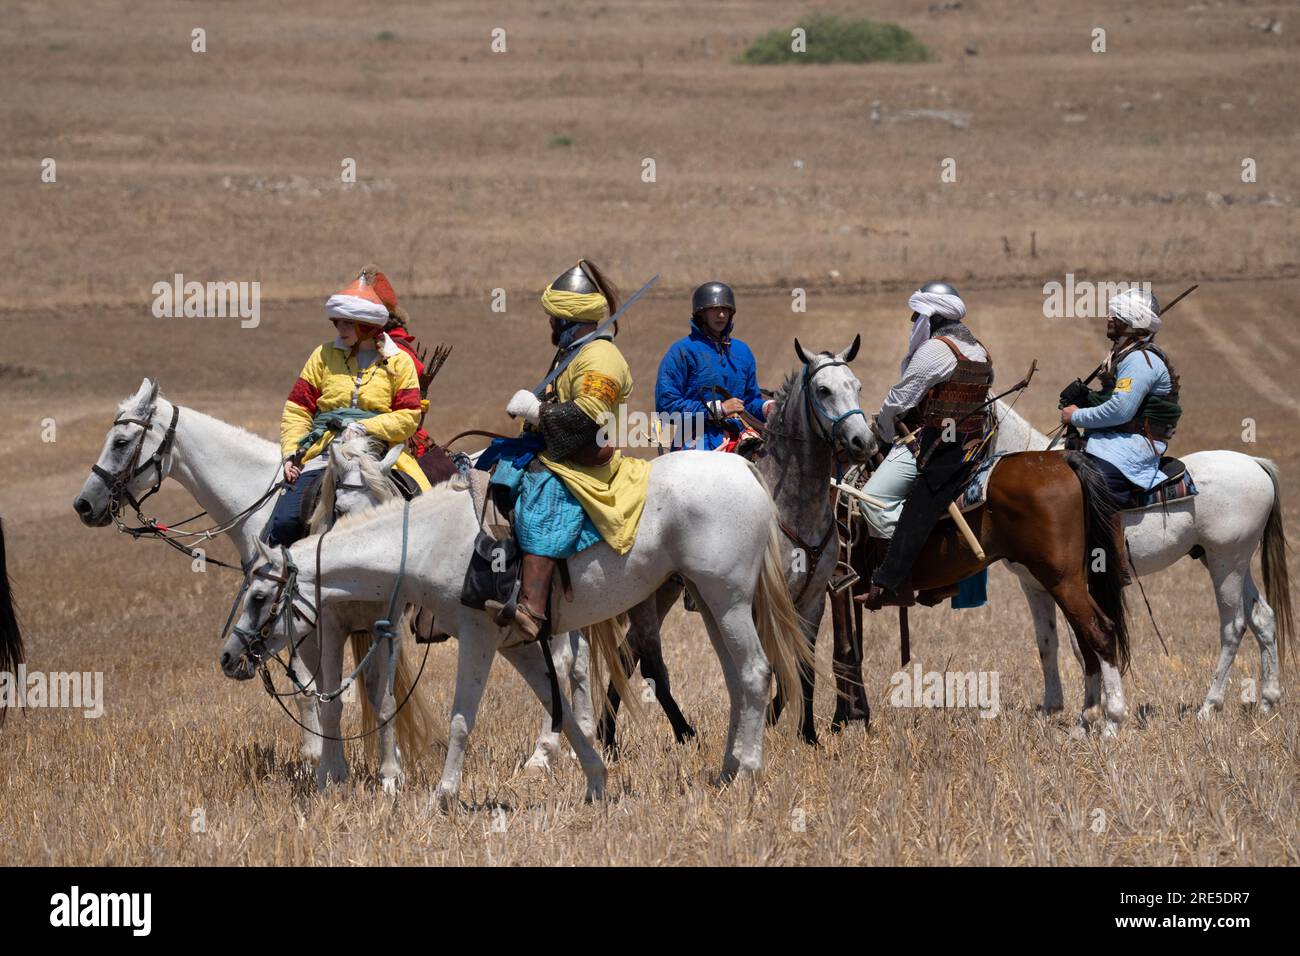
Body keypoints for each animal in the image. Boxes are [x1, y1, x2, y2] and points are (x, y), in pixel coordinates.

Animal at [223, 452, 811, 811]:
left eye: (258, 598)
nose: (230, 657)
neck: (437, 539)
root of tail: (741, 466)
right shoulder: (520, 644)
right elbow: (563, 712)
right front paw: (595, 783)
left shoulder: (479, 637)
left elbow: (463, 720)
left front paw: (441, 797)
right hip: (710, 602)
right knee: (736, 681)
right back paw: (727, 769)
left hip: (728, 599)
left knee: (755, 674)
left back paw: (748, 772)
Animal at [826, 452, 1133, 738]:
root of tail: (1063, 459)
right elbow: (853, 651)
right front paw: (856, 715)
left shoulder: (837, 581)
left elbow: (843, 652)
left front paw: (844, 719)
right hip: (1067, 581)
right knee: (1085, 639)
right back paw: (1086, 721)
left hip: (1062, 580)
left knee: (1100, 632)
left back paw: (1112, 722)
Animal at [987, 398, 1284, 717]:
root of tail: (1255, 463)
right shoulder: (1034, 585)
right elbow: (1047, 643)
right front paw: (1051, 708)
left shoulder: (1070, 584)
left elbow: (1082, 645)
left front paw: (1097, 707)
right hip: (1234, 562)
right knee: (1263, 618)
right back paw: (1267, 701)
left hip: (1225, 562)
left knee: (1233, 626)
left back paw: (1209, 706)